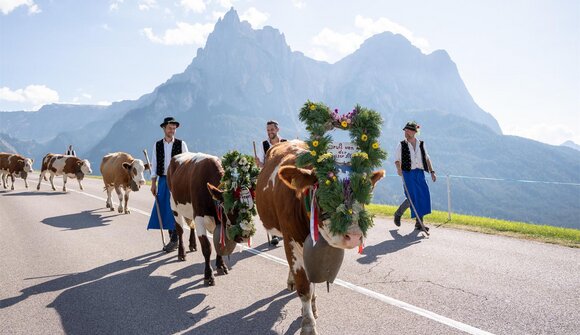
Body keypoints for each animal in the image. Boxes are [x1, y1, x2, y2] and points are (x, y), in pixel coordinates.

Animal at [165, 152, 245, 286]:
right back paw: (182, 253)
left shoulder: (219, 220)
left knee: (191, 226)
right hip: (174, 206)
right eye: (229, 209)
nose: (243, 236)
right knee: (180, 230)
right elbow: (207, 247)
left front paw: (221, 266)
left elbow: (219, 243)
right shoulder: (199, 216)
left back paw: (192, 245)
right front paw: (208, 275)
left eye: (250, 207)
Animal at [258, 140, 386, 335]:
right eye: (326, 189)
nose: (354, 235)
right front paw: (308, 325)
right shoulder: (290, 240)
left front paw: (312, 307)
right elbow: (304, 287)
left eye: (364, 192)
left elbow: (313, 281)